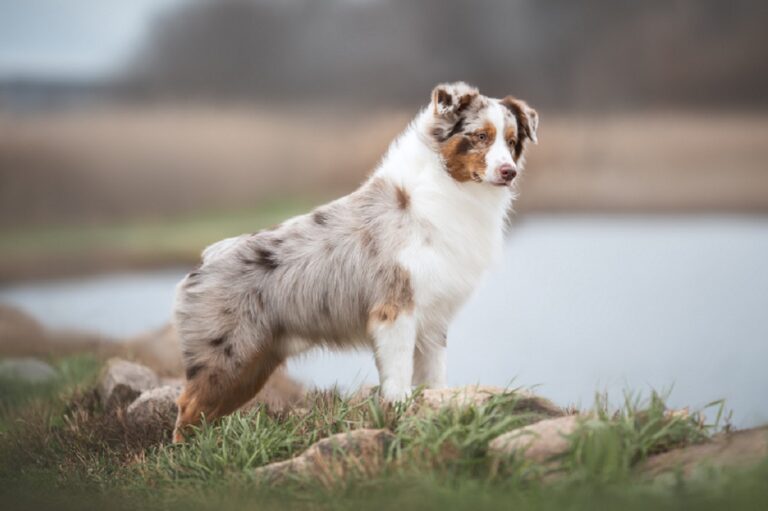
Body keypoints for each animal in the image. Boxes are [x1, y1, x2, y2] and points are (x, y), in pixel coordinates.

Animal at [172, 82, 540, 442]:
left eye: (511, 142)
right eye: (480, 136)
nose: (509, 172)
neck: (445, 188)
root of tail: (203, 262)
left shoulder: (434, 318)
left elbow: (434, 376)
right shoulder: (395, 310)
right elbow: (399, 375)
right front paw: (399, 412)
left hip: (254, 365)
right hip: (228, 359)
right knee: (186, 409)